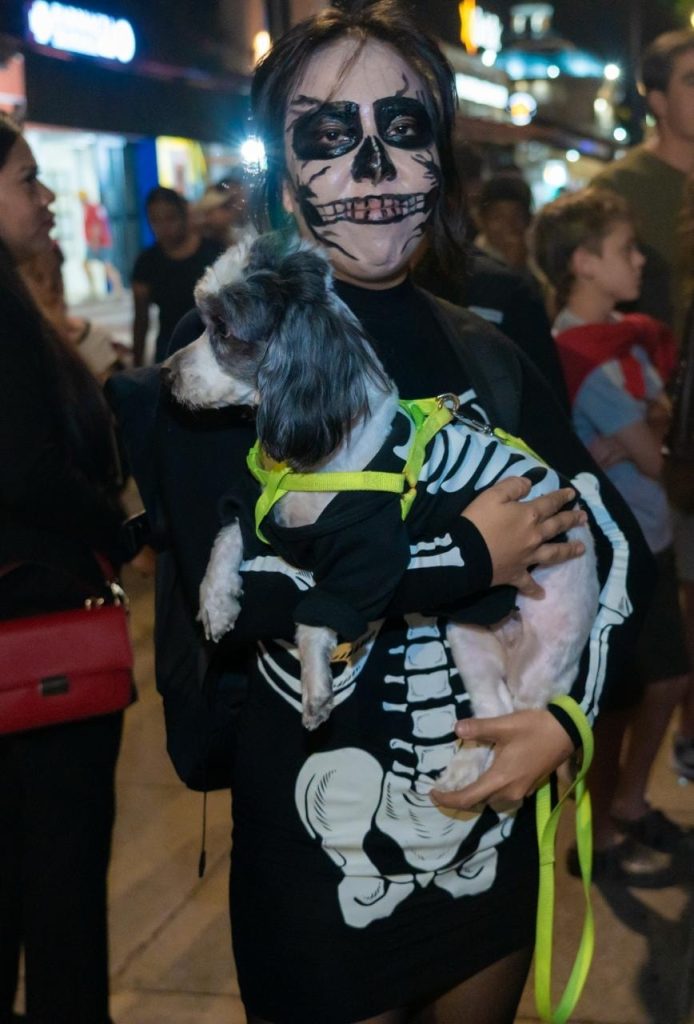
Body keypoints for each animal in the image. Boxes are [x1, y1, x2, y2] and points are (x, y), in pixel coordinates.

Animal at [165, 231, 599, 791]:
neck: (311, 464)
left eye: (224, 331)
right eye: (203, 322)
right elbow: (228, 536)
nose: (165, 374)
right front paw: (217, 600)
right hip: (469, 638)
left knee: (520, 717)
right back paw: (463, 771)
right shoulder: (268, 521)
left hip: (545, 657)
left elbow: (318, 615)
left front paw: (315, 683)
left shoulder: (369, 556)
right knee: (493, 710)